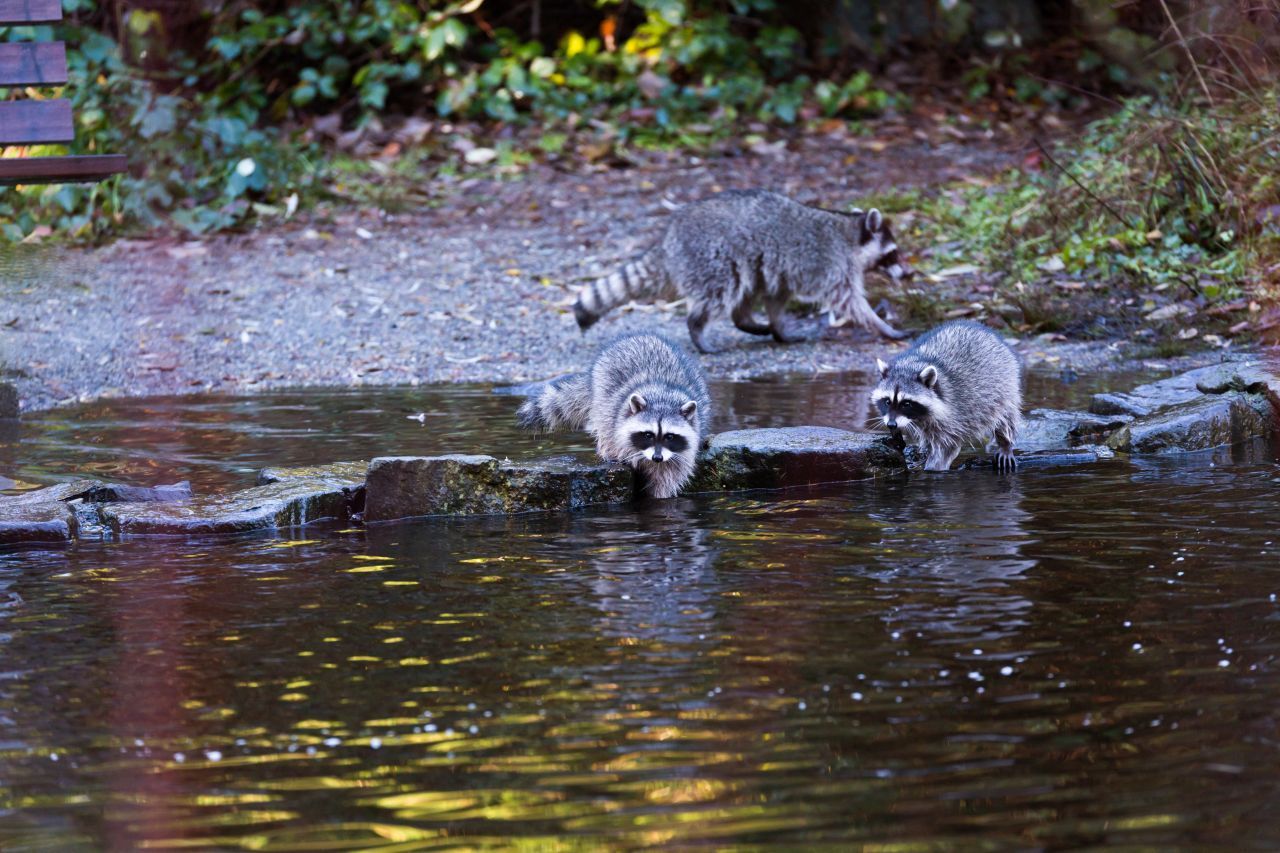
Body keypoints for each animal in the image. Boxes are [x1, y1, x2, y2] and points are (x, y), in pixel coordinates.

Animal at [514, 327, 711, 494]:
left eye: (670, 436)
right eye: (648, 434)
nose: (657, 458)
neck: (663, 397)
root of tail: (640, 335)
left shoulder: (680, 454)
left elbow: (666, 481)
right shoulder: (615, 411)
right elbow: (613, 432)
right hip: (602, 386)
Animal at [570, 188, 911, 350]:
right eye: (893, 253)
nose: (908, 274)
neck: (851, 232)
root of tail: (670, 236)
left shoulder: (786, 271)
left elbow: (777, 298)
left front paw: (780, 328)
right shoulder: (832, 265)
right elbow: (849, 300)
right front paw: (882, 325)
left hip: (750, 261)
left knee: (747, 292)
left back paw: (752, 323)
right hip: (713, 256)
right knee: (720, 293)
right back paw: (698, 328)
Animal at [870, 320, 1018, 471]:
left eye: (906, 403)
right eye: (887, 401)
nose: (891, 424)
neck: (910, 366)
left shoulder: (953, 415)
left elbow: (946, 446)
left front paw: (932, 468)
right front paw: (896, 434)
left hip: (1004, 388)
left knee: (1006, 418)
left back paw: (1005, 443)